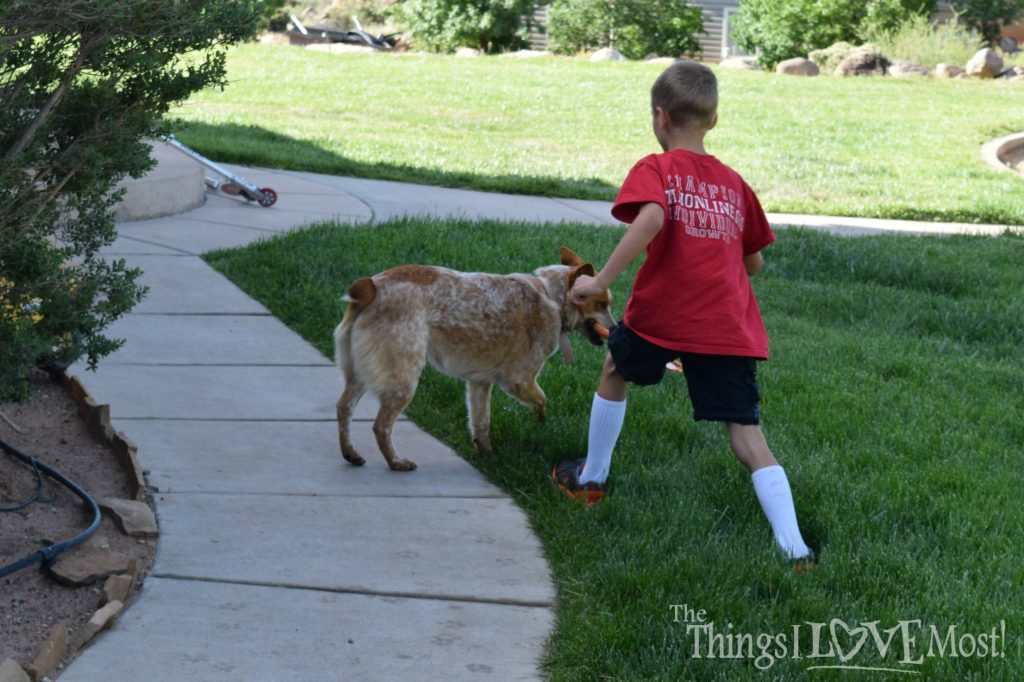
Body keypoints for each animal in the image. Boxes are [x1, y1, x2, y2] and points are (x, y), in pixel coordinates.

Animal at [331, 246, 610, 471]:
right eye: (603, 304)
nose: (616, 327)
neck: (550, 295)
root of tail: (371, 288)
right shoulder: (519, 380)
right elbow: (542, 400)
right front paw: (541, 425)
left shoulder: (480, 383)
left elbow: (481, 422)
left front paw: (487, 456)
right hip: (404, 377)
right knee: (381, 425)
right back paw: (396, 462)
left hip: (358, 372)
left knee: (344, 408)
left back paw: (351, 454)